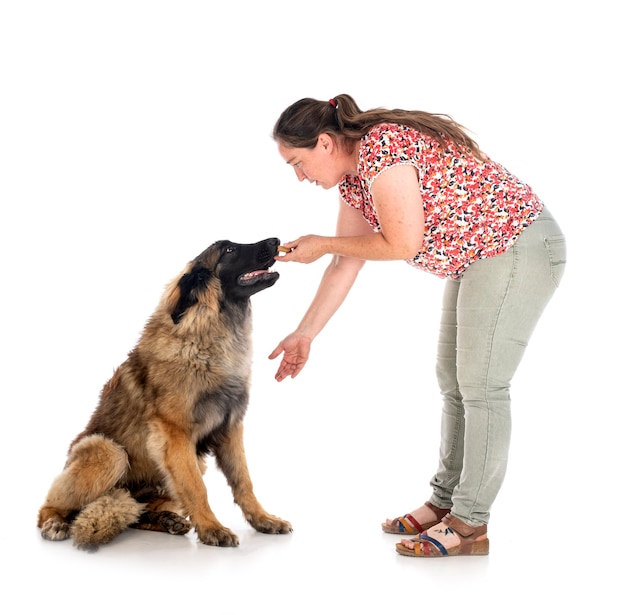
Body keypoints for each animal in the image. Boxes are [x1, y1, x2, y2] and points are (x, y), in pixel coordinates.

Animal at [37, 238, 292, 552]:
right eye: (229, 250)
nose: (276, 241)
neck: (208, 336)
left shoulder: (230, 428)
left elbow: (244, 482)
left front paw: (263, 519)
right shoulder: (175, 435)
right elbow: (196, 488)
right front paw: (212, 528)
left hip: (187, 464)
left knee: (140, 514)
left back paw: (166, 520)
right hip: (108, 451)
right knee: (49, 506)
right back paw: (55, 523)